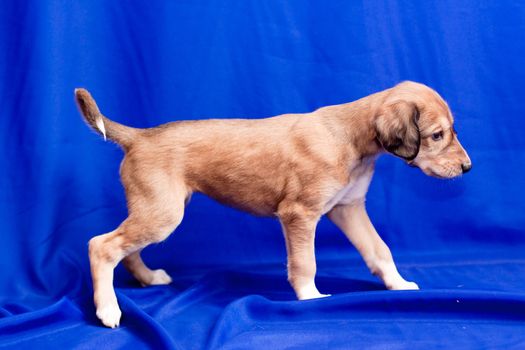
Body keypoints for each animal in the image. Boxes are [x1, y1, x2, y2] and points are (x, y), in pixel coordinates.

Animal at [73, 82, 470, 328]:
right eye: (437, 135)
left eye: (451, 130)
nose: (467, 168)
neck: (349, 136)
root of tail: (139, 136)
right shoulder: (300, 214)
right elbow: (305, 263)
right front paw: (310, 298)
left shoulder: (349, 208)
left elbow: (379, 250)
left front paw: (398, 284)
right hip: (163, 215)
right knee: (101, 246)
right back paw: (108, 309)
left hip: (156, 211)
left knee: (126, 249)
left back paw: (147, 279)